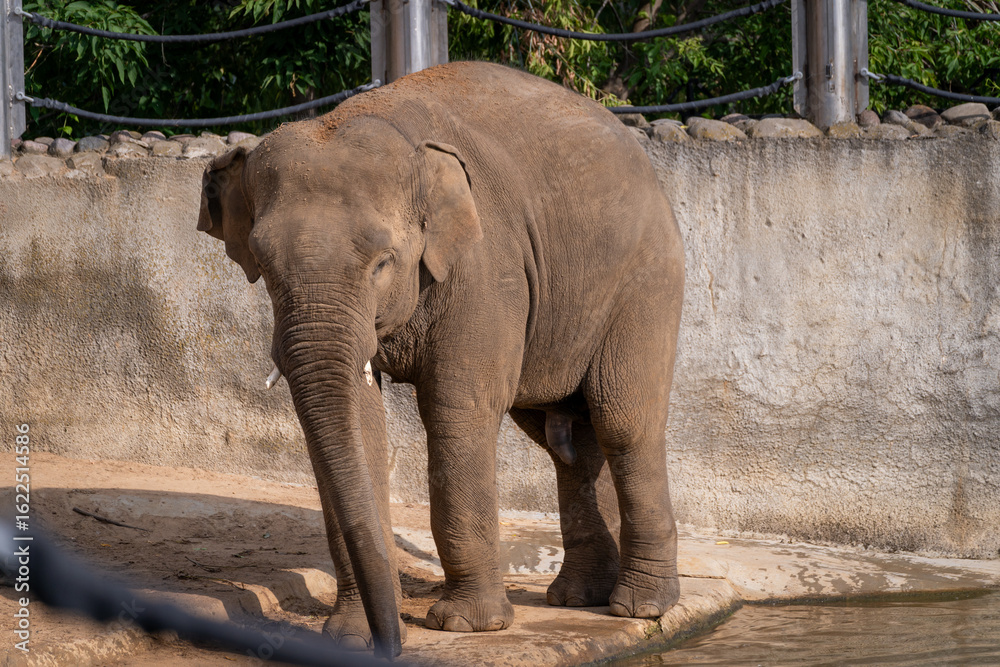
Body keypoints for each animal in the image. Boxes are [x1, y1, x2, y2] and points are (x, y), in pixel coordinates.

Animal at [197, 61, 684, 659]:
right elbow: (361, 422)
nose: (390, 648)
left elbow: (458, 411)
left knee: (622, 421)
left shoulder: (485, 265)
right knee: (567, 440)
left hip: (647, 279)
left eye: (383, 261)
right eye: (263, 265)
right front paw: (350, 637)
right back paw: (578, 599)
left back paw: (639, 607)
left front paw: (465, 626)